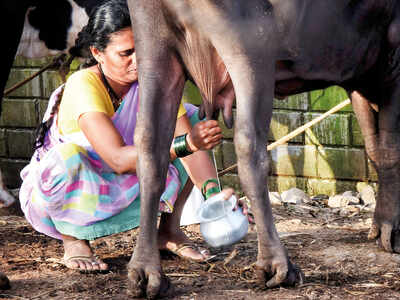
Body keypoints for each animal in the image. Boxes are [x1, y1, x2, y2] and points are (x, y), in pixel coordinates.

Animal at [126, 0, 400, 298]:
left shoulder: (359, 71)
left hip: (154, 46)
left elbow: (374, 148)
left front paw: (380, 225)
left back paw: (146, 273)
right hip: (252, 51)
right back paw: (278, 266)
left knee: (150, 145)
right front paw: (391, 231)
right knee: (249, 144)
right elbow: (389, 149)